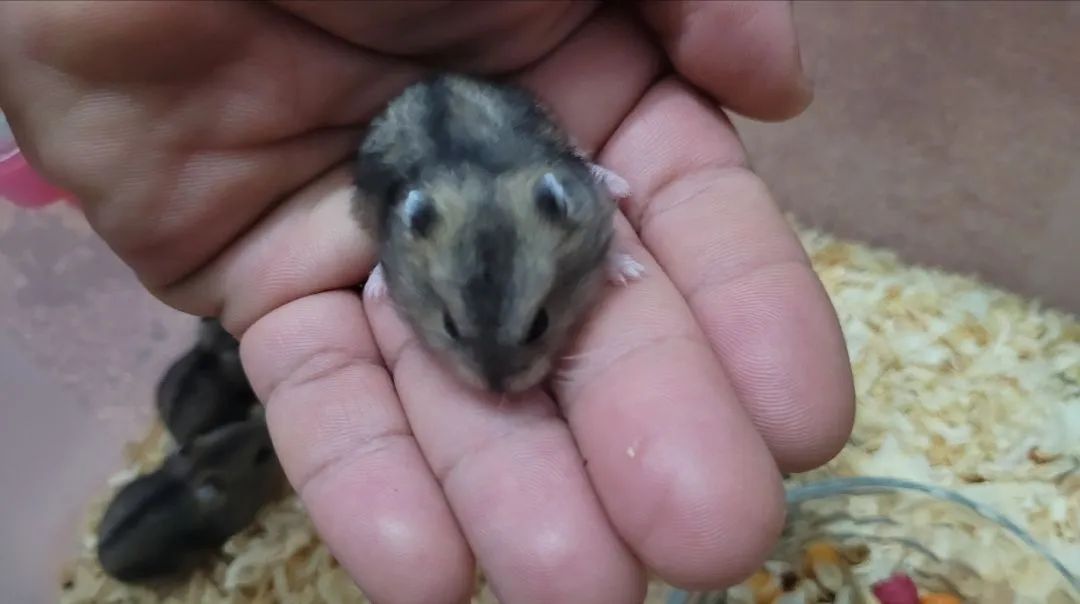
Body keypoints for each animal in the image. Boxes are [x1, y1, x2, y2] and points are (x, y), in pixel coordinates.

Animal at [353, 72, 644, 394]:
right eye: (449, 326)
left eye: (540, 324)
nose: (497, 389)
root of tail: (434, 78)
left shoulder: (589, 206)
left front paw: (632, 273)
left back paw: (620, 186)